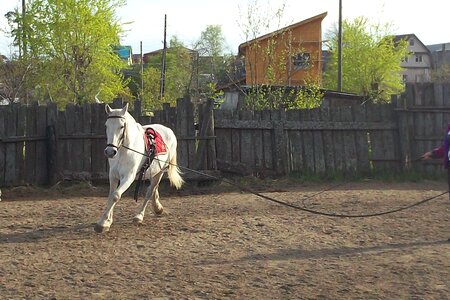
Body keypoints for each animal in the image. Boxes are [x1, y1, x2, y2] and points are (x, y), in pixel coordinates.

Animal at [95, 104, 185, 233]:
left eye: (122, 126)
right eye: (106, 125)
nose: (110, 152)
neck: (124, 151)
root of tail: (169, 131)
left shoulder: (128, 177)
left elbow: (116, 196)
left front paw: (102, 224)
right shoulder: (113, 175)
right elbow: (110, 195)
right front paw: (107, 220)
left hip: (160, 172)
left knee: (150, 191)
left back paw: (139, 216)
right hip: (152, 171)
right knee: (154, 189)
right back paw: (157, 208)